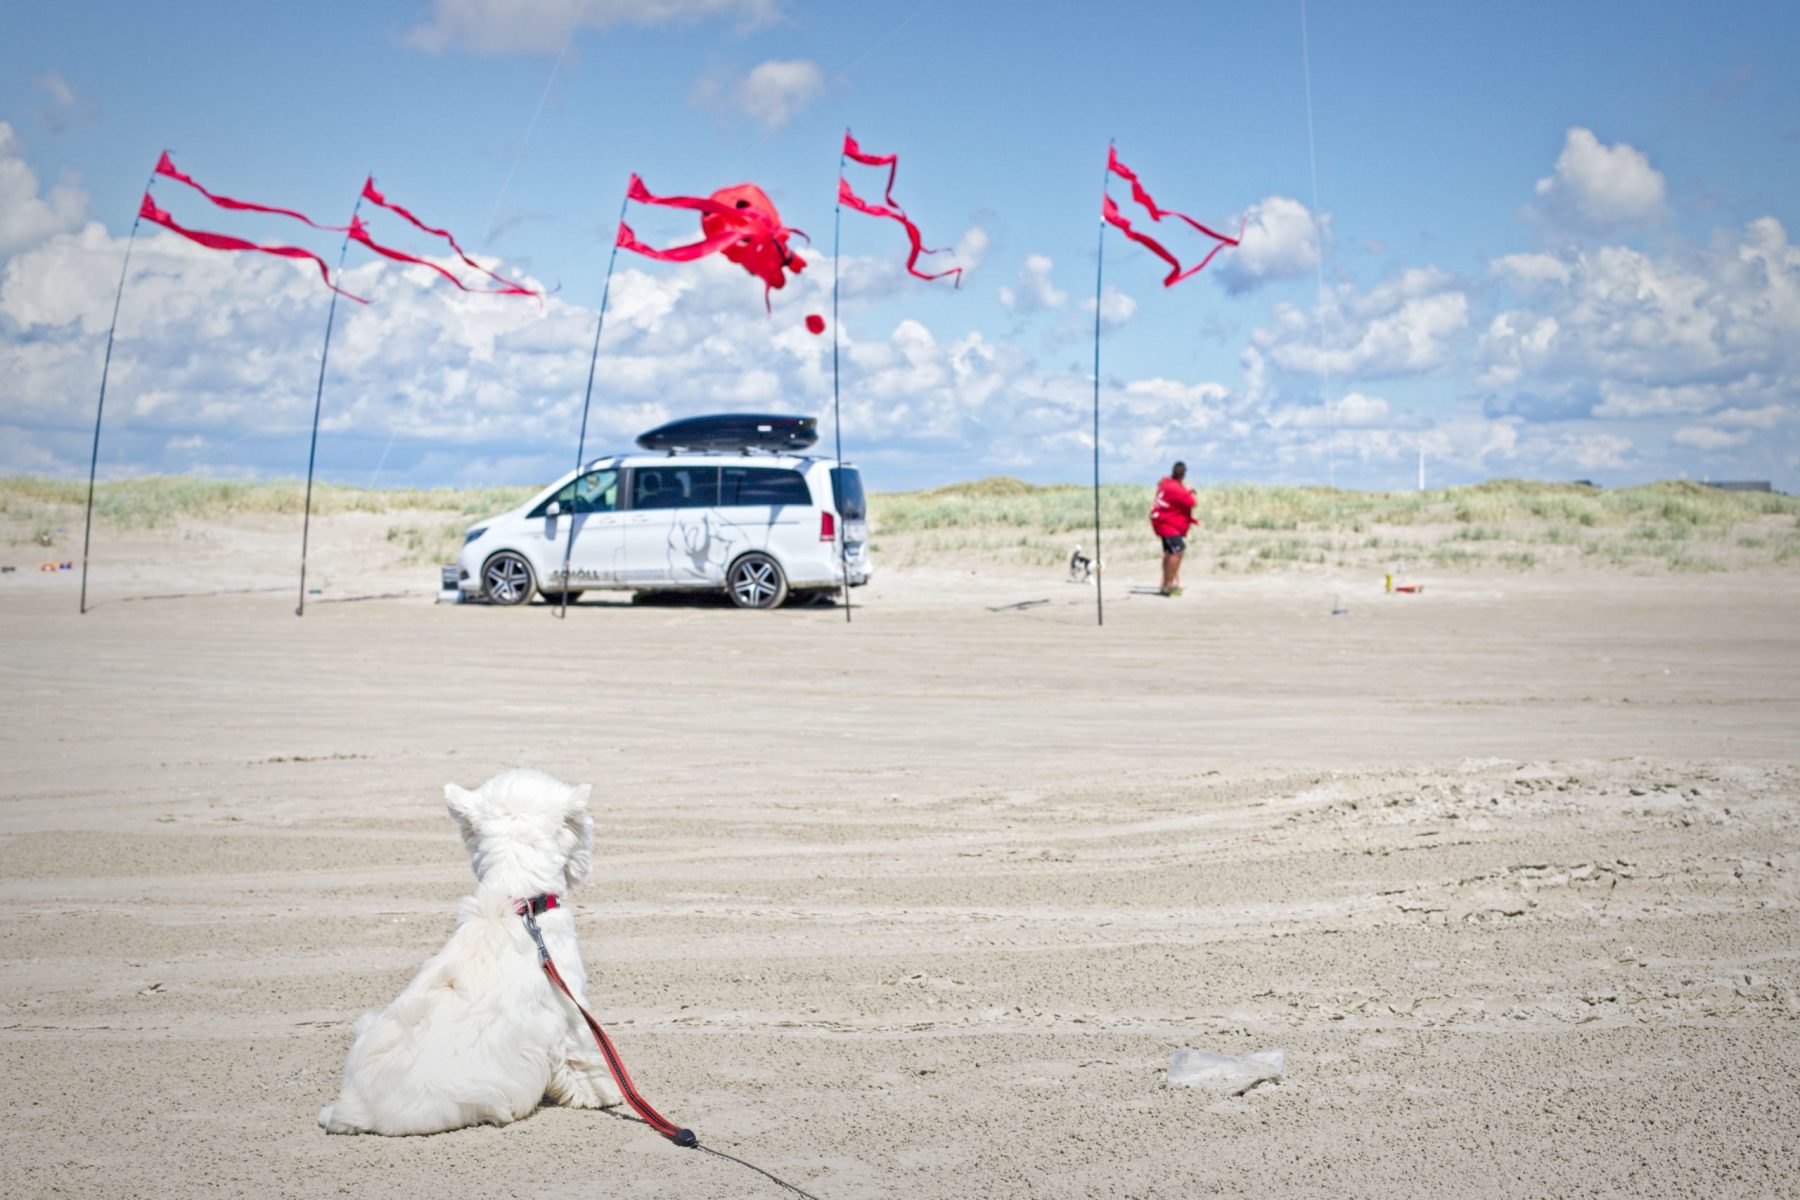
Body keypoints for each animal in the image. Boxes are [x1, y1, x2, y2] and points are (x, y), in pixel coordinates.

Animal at [319, 769, 624, 1135]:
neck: (519, 901)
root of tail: (353, 1109)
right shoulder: (570, 1010)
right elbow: (583, 1059)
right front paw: (603, 1093)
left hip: (367, 1024)